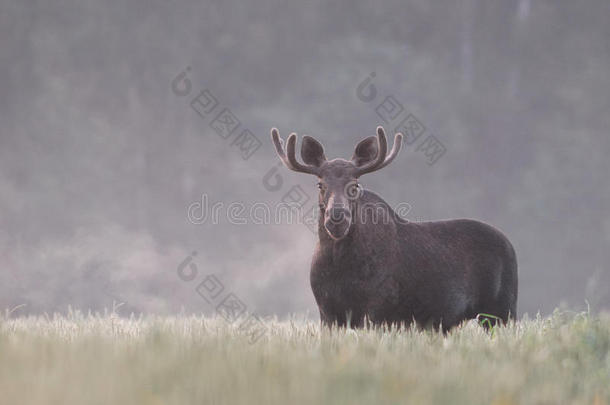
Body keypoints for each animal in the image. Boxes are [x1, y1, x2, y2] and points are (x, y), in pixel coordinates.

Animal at [270, 126, 512, 332]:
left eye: (355, 185)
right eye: (320, 184)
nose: (337, 217)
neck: (340, 266)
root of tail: (509, 244)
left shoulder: (378, 306)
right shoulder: (326, 311)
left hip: (502, 310)